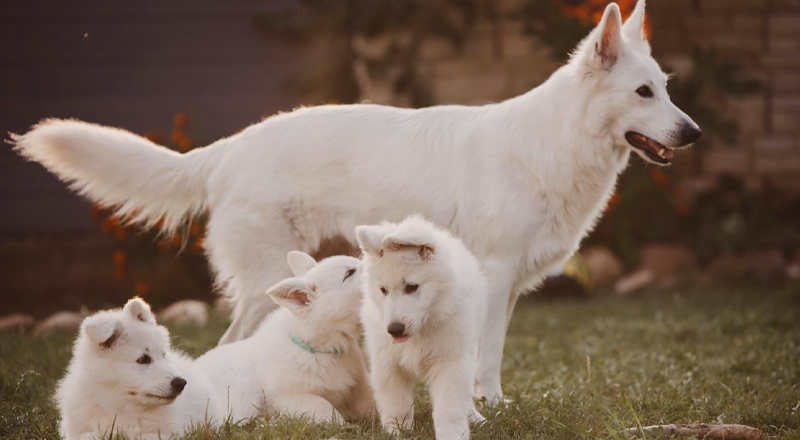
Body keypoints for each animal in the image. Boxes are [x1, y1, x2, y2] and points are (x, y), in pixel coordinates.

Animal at [15, 0, 696, 406]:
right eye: (642, 92)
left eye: (664, 89)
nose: (692, 134)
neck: (553, 140)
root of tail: (231, 147)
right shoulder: (496, 275)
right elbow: (487, 354)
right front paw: (487, 408)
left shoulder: (502, 287)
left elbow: (488, 354)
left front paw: (488, 405)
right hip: (265, 280)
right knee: (227, 339)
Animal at [356, 216, 488, 440]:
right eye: (383, 290)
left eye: (411, 287)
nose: (394, 330)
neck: (420, 332)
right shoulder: (387, 363)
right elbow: (396, 405)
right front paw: (396, 432)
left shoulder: (451, 361)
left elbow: (450, 407)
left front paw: (452, 435)